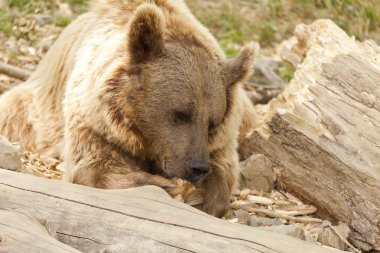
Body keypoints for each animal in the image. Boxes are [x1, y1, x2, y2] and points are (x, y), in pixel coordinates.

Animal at [0, 0, 258, 217]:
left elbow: (223, 174)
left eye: (212, 122)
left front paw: (199, 194)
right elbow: (97, 168)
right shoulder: (98, 124)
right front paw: (169, 186)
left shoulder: (221, 139)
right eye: (180, 114)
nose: (197, 167)